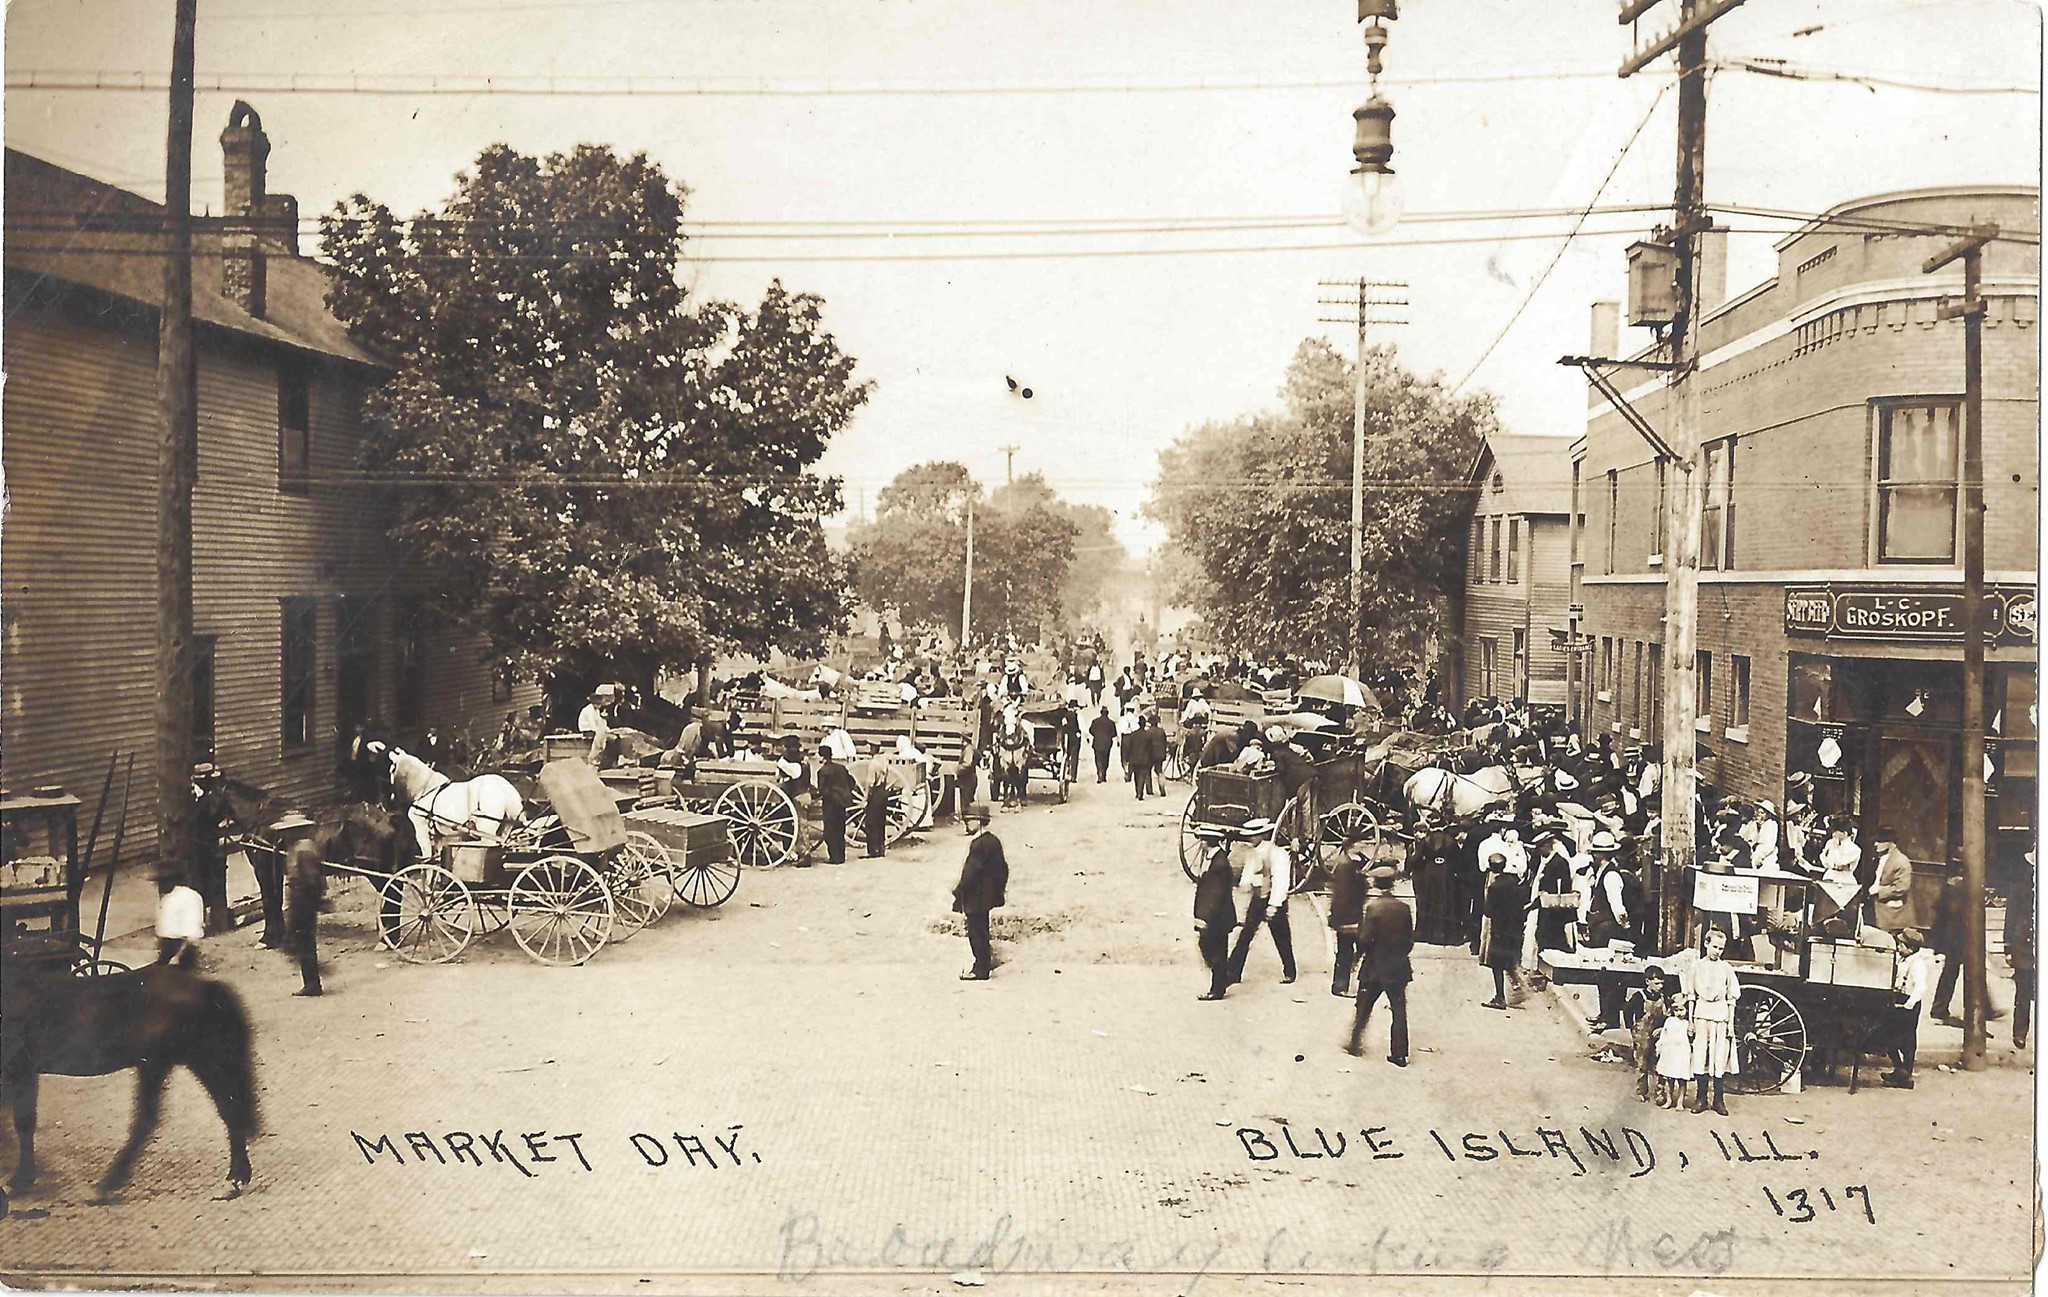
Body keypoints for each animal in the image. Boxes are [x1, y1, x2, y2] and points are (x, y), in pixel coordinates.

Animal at [1, 960, 257, 1204]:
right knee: (227, 1108)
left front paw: (21, 1179)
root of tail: (204, 986)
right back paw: (236, 1177)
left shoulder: (21, 1071)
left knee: (154, 1119)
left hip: (168, 1063)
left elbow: (24, 1124)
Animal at [374, 744, 525, 861]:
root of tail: (504, 788)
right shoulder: (440, 836)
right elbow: (437, 858)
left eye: (392, 770)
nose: (392, 798)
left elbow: (427, 857)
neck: (425, 787)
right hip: (506, 826)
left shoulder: (421, 826)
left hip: (486, 826)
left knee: (488, 845)